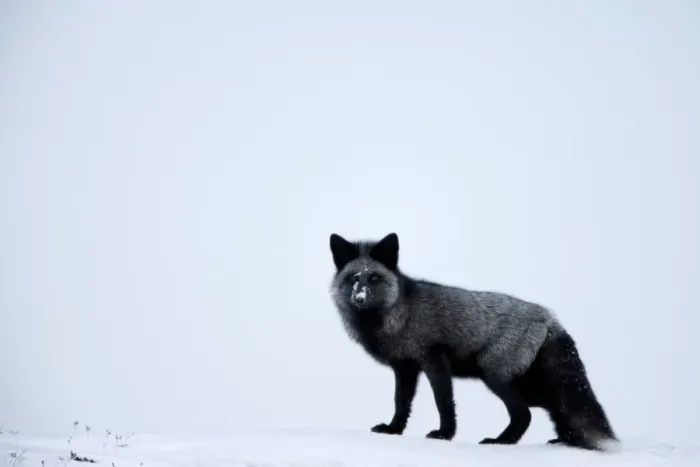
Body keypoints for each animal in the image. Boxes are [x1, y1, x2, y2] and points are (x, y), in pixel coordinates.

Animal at [328, 232, 618, 451]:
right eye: (354, 278)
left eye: (374, 278)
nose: (360, 297)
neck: (399, 314)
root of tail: (549, 318)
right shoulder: (405, 368)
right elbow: (401, 403)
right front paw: (393, 430)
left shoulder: (434, 359)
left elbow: (443, 401)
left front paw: (445, 435)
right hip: (532, 386)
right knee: (556, 409)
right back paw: (560, 441)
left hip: (496, 376)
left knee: (525, 414)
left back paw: (500, 442)